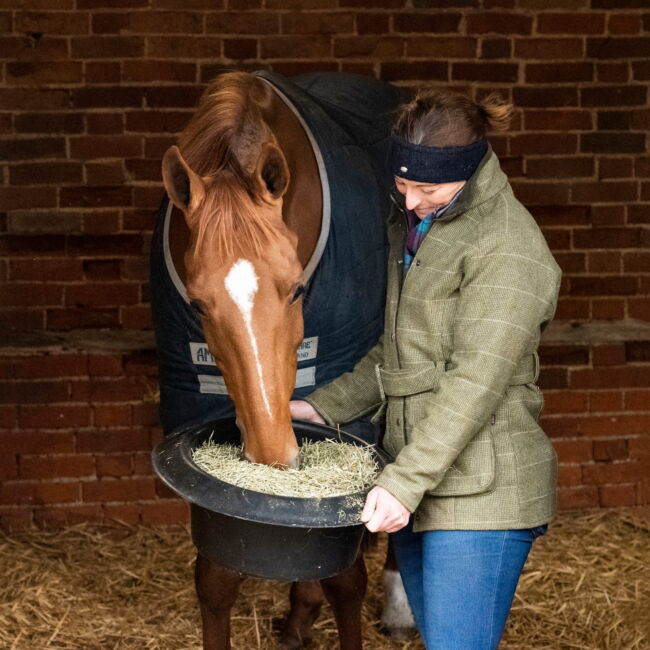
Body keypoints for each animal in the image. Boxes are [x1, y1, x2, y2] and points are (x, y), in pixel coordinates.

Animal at [155, 69, 414, 649]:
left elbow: (345, 576)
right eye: (198, 305)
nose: (276, 457)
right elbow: (215, 578)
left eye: (297, 290)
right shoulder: (191, 394)